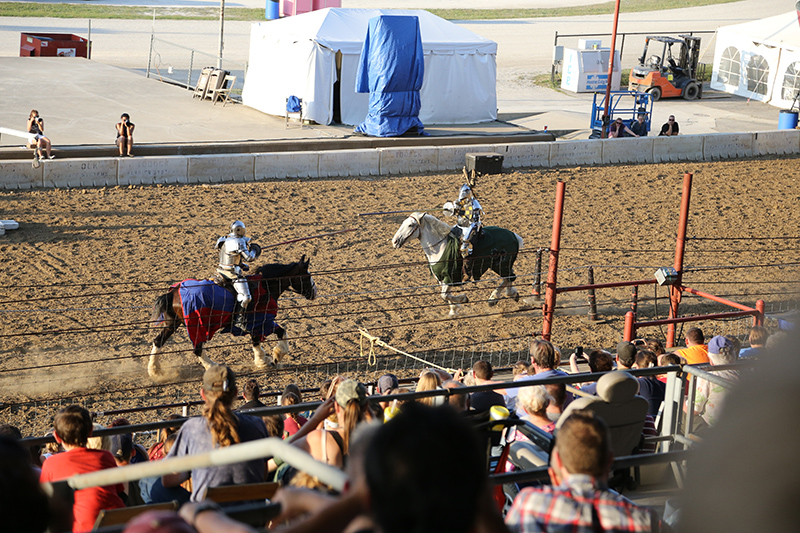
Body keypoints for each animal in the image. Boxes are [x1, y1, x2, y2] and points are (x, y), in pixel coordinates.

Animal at [149, 256, 316, 376]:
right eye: (306, 277)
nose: (314, 293)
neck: (265, 287)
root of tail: (173, 292)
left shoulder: (262, 323)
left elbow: (273, 336)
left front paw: (266, 359)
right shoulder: (261, 322)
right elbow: (272, 335)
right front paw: (271, 358)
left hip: (173, 323)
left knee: (158, 341)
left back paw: (155, 370)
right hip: (198, 326)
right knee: (197, 348)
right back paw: (213, 366)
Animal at [392, 212, 524, 316]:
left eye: (410, 225)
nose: (394, 241)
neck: (440, 247)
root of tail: (514, 235)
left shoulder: (449, 277)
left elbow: (445, 295)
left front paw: (463, 299)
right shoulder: (442, 279)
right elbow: (446, 295)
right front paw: (453, 310)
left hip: (501, 265)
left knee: (510, 277)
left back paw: (494, 298)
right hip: (501, 265)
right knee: (510, 277)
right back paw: (510, 294)